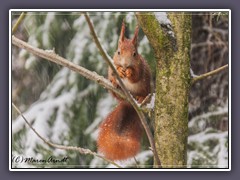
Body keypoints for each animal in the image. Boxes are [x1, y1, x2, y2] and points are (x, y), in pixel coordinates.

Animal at [97, 21, 150, 161]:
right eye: (118, 52)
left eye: (135, 54)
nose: (125, 64)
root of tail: (129, 104)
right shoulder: (111, 67)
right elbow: (113, 73)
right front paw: (120, 71)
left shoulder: (141, 68)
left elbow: (136, 75)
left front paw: (130, 72)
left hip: (146, 88)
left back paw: (140, 98)